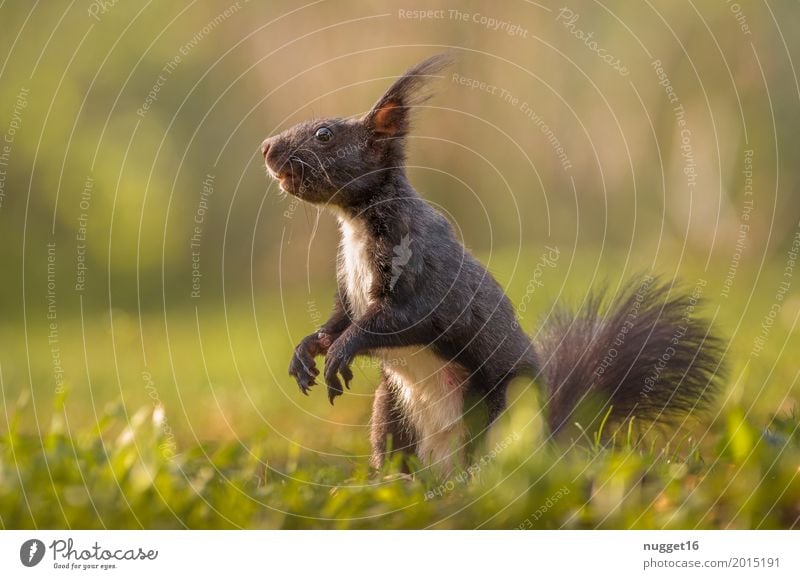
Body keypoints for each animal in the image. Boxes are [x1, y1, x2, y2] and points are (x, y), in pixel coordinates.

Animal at [260, 53, 724, 472]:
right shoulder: (349, 286)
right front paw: (307, 352)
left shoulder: (426, 275)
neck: (355, 223)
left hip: (502, 407)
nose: (266, 147)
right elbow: (337, 319)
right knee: (395, 454)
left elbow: (401, 318)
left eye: (325, 134)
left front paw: (341, 351)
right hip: (389, 413)